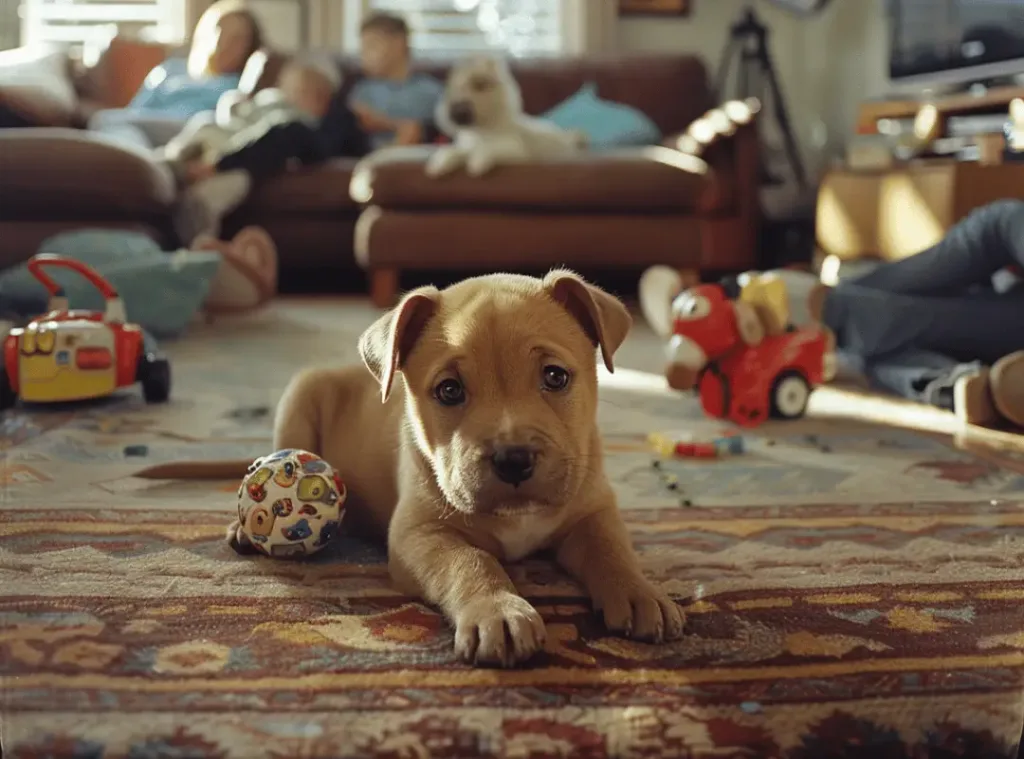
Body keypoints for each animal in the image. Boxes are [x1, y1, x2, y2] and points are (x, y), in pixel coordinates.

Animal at [226, 270, 688, 663]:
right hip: (301, 396)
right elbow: (470, 561)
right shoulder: (419, 535)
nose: (513, 459)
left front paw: (638, 592)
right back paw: (244, 528)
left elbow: (612, 549)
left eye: (555, 377)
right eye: (449, 390)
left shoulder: (593, 512)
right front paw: (498, 611)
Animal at [423, 56, 585, 177]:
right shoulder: (467, 145)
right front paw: (440, 162)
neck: (482, 130)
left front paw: (478, 163)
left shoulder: (515, 149)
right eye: (451, 90)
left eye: (480, 85)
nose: (455, 112)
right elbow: (457, 151)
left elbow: (490, 148)